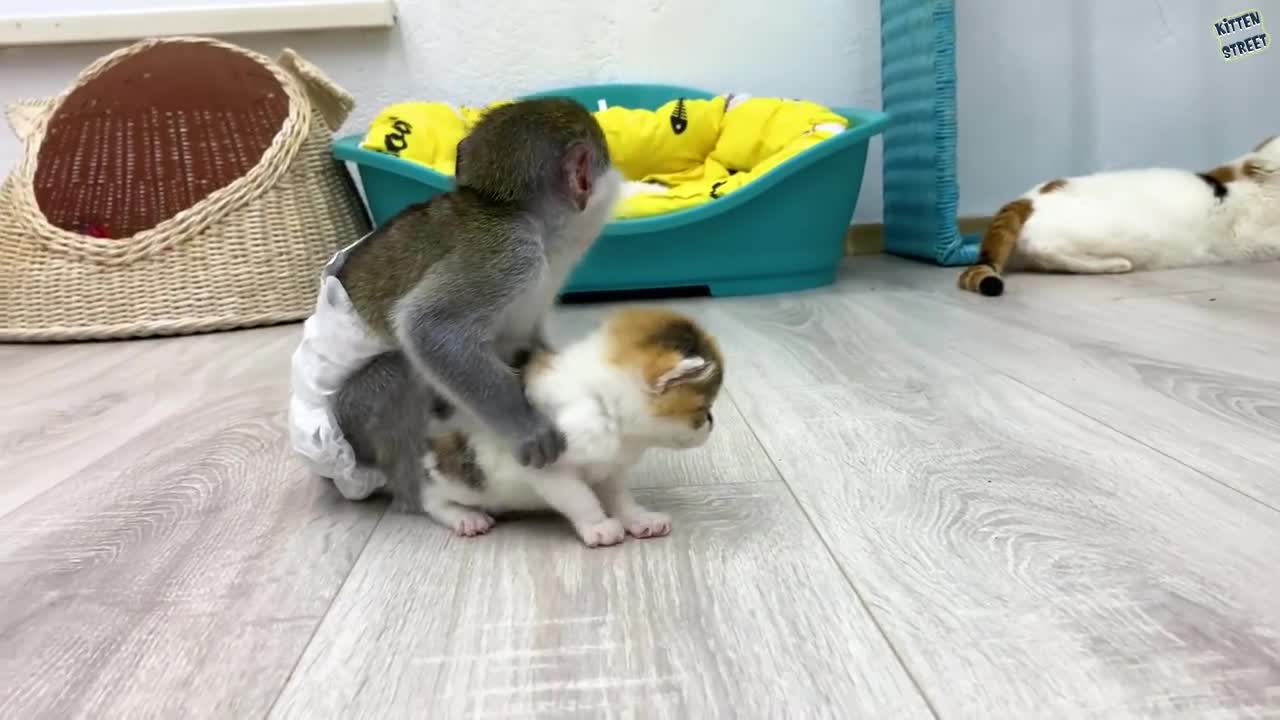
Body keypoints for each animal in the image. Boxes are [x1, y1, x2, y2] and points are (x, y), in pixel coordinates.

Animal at [325, 96, 624, 509]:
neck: (516, 214)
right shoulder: (512, 252)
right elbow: (429, 328)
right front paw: (525, 426)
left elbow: (523, 339)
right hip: (353, 421)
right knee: (399, 369)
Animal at [417, 304, 721, 545]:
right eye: (703, 409)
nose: (712, 423)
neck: (602, 405)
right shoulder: (548, 468)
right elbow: (580, 497)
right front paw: (599, 526)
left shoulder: (612, 468)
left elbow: (618, 495)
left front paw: (638, 518)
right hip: (460, 478)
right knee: (430, 499)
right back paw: (465, 517)